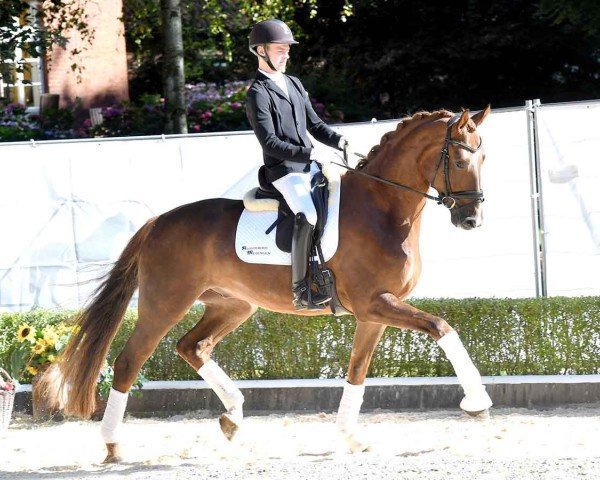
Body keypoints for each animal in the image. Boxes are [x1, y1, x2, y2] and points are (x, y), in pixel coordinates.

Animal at [39, 106, 494, 462]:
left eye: (484, 158)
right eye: (458, 162)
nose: (471, 220)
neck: (383, 208)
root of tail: (158, 222)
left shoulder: (374, 311)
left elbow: (357, 370)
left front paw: (351, 436)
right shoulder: (374, 303)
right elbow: (442, 327)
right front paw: (478, 404)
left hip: (233, 304)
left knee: (193, 346)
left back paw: (233, 417)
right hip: (165, 303)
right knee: (130, 361)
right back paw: (113, 445)